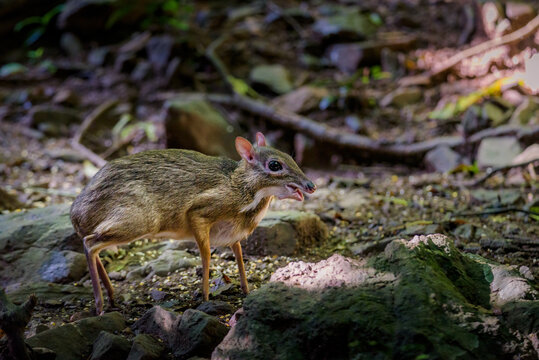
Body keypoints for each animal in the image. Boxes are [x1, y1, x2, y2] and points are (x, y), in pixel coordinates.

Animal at [71, 132, 316, 316]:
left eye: (290, 157)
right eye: (274, 165)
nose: (311, 185)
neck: (241, 189)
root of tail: (76, 213)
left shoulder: (232, 235)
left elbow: (239, 257)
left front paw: (247, 291)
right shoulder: (199, 214)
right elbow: (206, 255)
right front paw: (205, 297)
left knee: (92, 245)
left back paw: (112, 297)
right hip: (137, 222)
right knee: (90, 243)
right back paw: (100, 305)